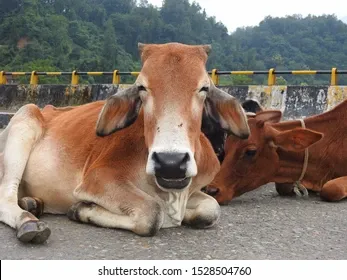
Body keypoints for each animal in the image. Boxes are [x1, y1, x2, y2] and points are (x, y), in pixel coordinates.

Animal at [0, 42, 250, 243]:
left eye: (204, 87)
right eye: (141, 87)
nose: (170, 162)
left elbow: (211, 209)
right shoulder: (99, 178)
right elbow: (153, 213)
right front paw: (81, 209)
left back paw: (33, 203)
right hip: (24, 119)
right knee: (5, 196)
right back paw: (29, 221)